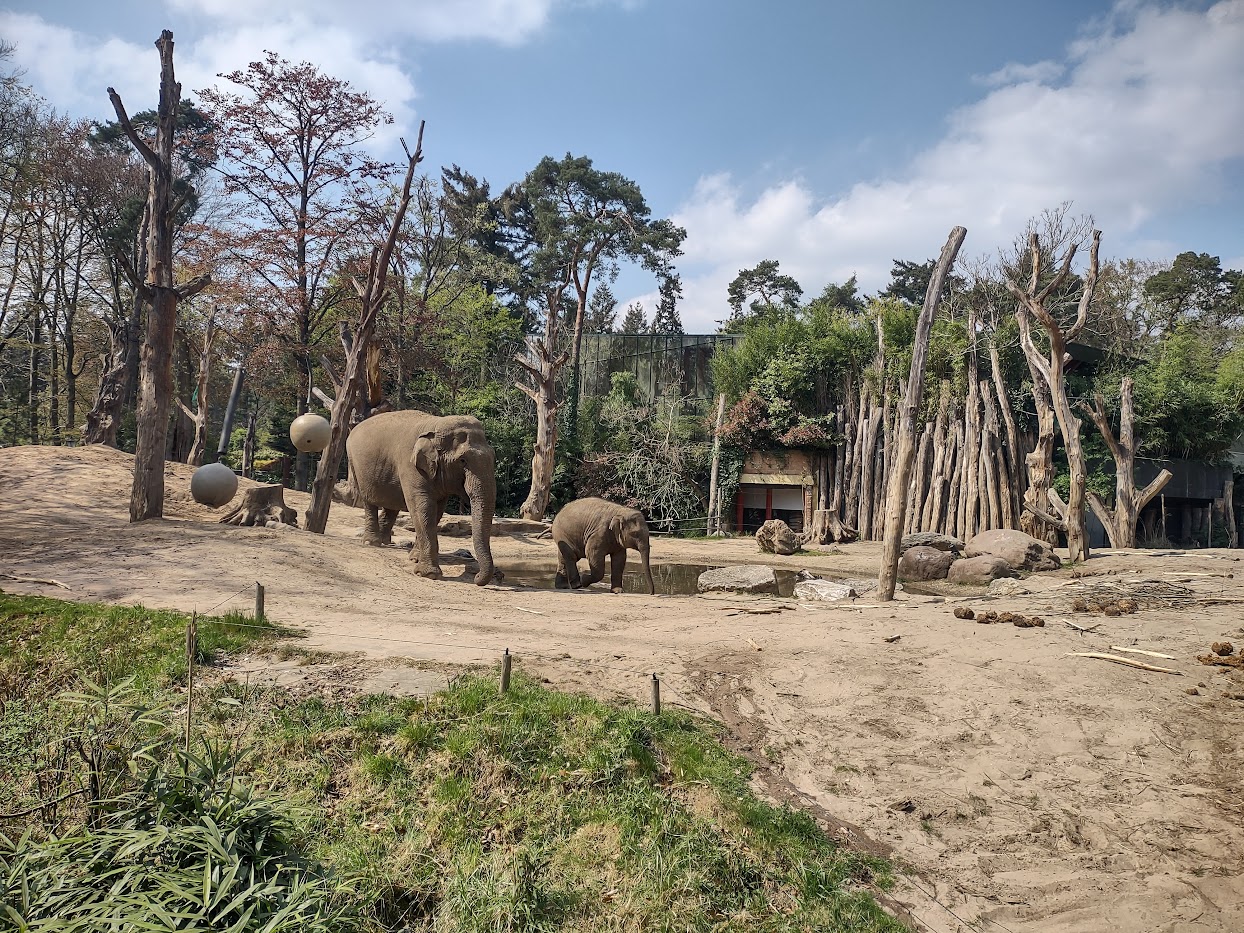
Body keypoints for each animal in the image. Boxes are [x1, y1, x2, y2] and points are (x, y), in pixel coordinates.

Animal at [345, 410, 496, 586]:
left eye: (493, 457)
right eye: (462, 460)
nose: (476, 577)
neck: (435, 424)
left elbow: (437, 510)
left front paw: (415, 559)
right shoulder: (410, 465)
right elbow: (422, 506)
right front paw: (429, 574)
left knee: (391, 504)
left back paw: (385, 541)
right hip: (355, 465)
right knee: (369, 502)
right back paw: (372, 542)